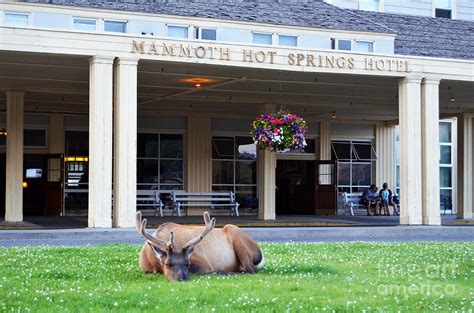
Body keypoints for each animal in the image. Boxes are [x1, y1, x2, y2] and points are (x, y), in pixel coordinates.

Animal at [135, 210, 264, 280]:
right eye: (167, 264)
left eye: (187, 264)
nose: (182, 279)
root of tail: (260, 254)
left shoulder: (204, 263)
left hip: (237, 236)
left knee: (250, 270)